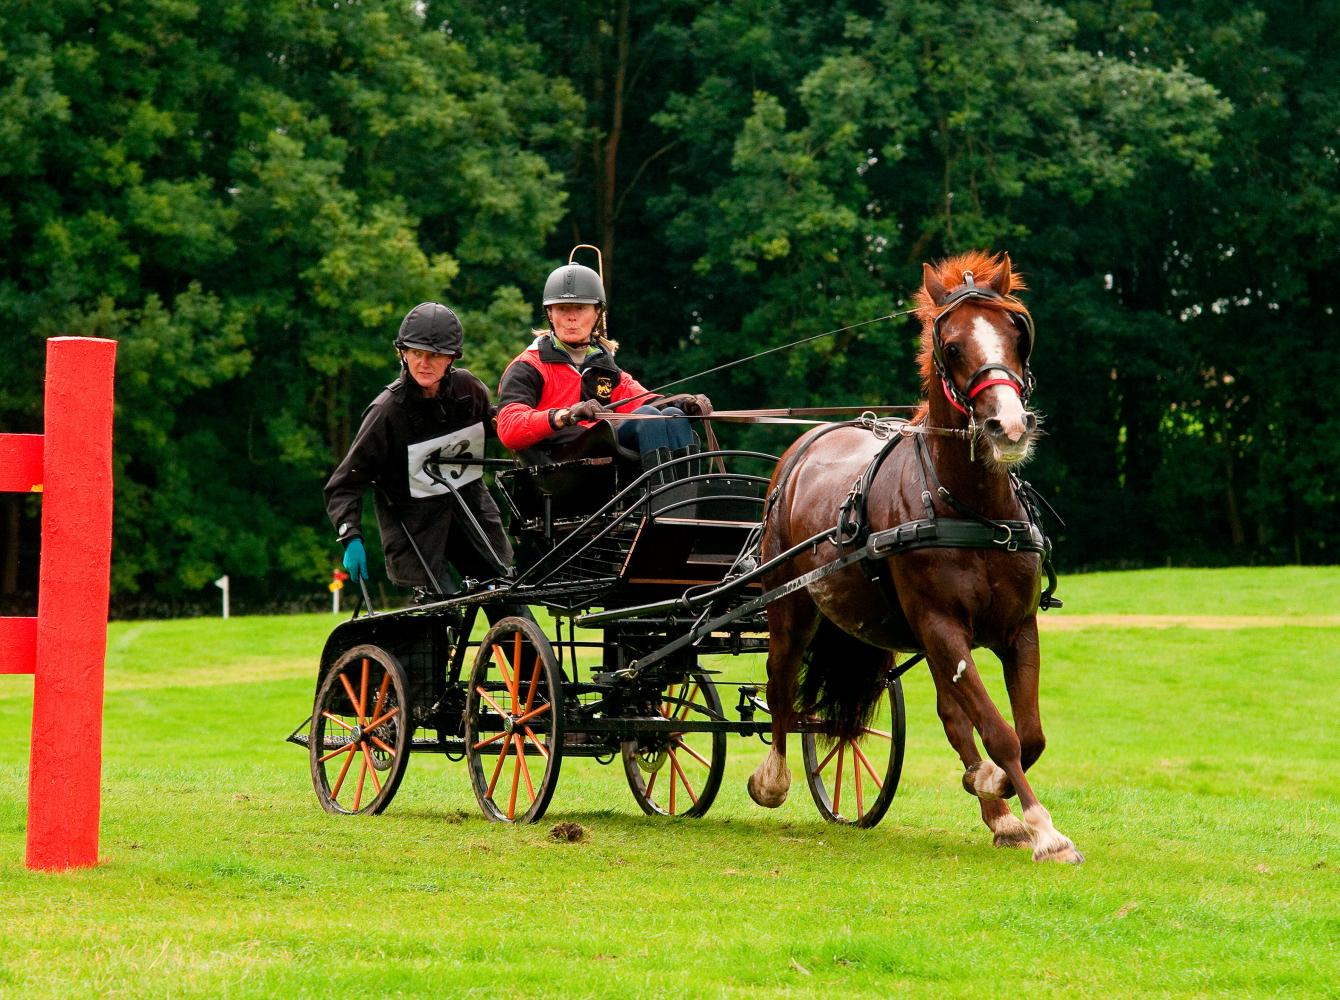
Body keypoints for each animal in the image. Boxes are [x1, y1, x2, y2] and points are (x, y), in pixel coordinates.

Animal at [750, 253, 1082, 863]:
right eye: (951, 346)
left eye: (1017, 334)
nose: (1009, 426)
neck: (972, 509)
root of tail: (806, 443)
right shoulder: (942, 625)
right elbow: (999, 732)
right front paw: (1045, 830)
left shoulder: (1017, 628)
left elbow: (1026, 734)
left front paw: (998, 792)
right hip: (791, 606)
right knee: (780, 684)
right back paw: (772, 779)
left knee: (952, 717)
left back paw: (997, 813)